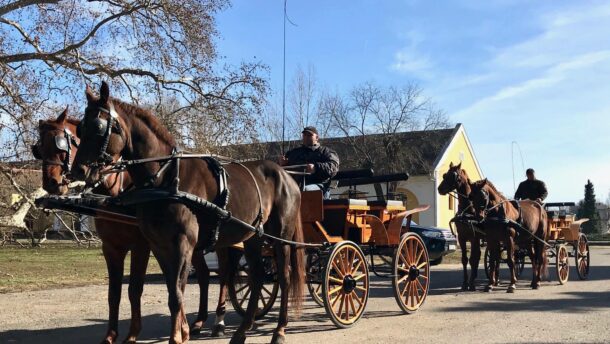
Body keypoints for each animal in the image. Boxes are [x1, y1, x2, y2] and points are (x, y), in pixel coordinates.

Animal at [32, 109, 235, 342]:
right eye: (39, 148)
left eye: (60, 144)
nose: (51, 183)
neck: (118, 195)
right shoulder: (112, 247)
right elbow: (114, 293)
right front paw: (111, 336)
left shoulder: (141, 246)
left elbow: (135, 289)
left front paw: (132, 335)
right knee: (203, 275)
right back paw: (198, 321)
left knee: (224, 275)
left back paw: (219, 320)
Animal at [69, 82, 304, 344]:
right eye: (80, 128)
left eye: (99, 127)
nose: (77, 171)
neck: (165, 178)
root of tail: (287, 175)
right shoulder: (158, 246)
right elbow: (173, 290)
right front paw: (183, 331)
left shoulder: (181, 244)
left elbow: (176, 296)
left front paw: (177, 337)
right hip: (253, 237)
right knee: (257, 277)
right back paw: (242, 331)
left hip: (280, 237)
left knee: (284, 277)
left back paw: (279, 330)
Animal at [434, 161, 482, 290]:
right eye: (445, 175)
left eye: (453, 176)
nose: (439, 189)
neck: (467, 211)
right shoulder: (461, 237)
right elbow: (465, 259)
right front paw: (465, 283)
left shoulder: (474, 238)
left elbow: (472, 259)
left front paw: (471, 283)